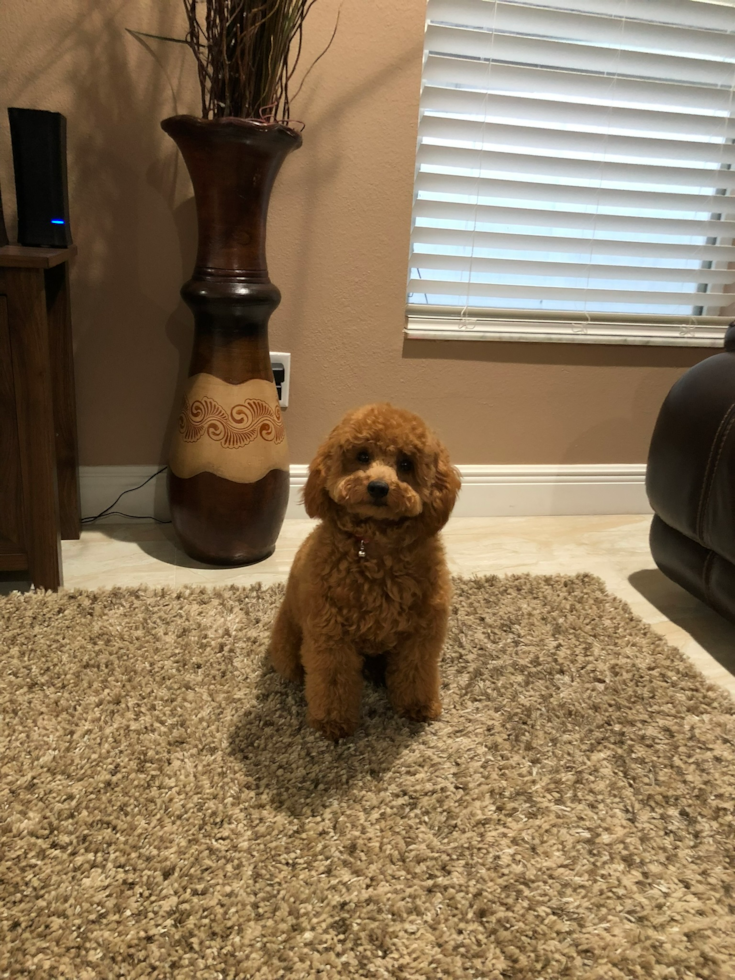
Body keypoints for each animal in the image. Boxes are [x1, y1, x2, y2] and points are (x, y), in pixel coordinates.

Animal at [268, 402, 460, 740]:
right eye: (362, 456)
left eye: (406, 463)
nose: (379, 487)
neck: (375, 549)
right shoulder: (330, 635)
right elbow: (333, 681)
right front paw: (332, 723)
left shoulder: (422, 633)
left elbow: (416, 671)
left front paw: (418, 707)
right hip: (289, 646)